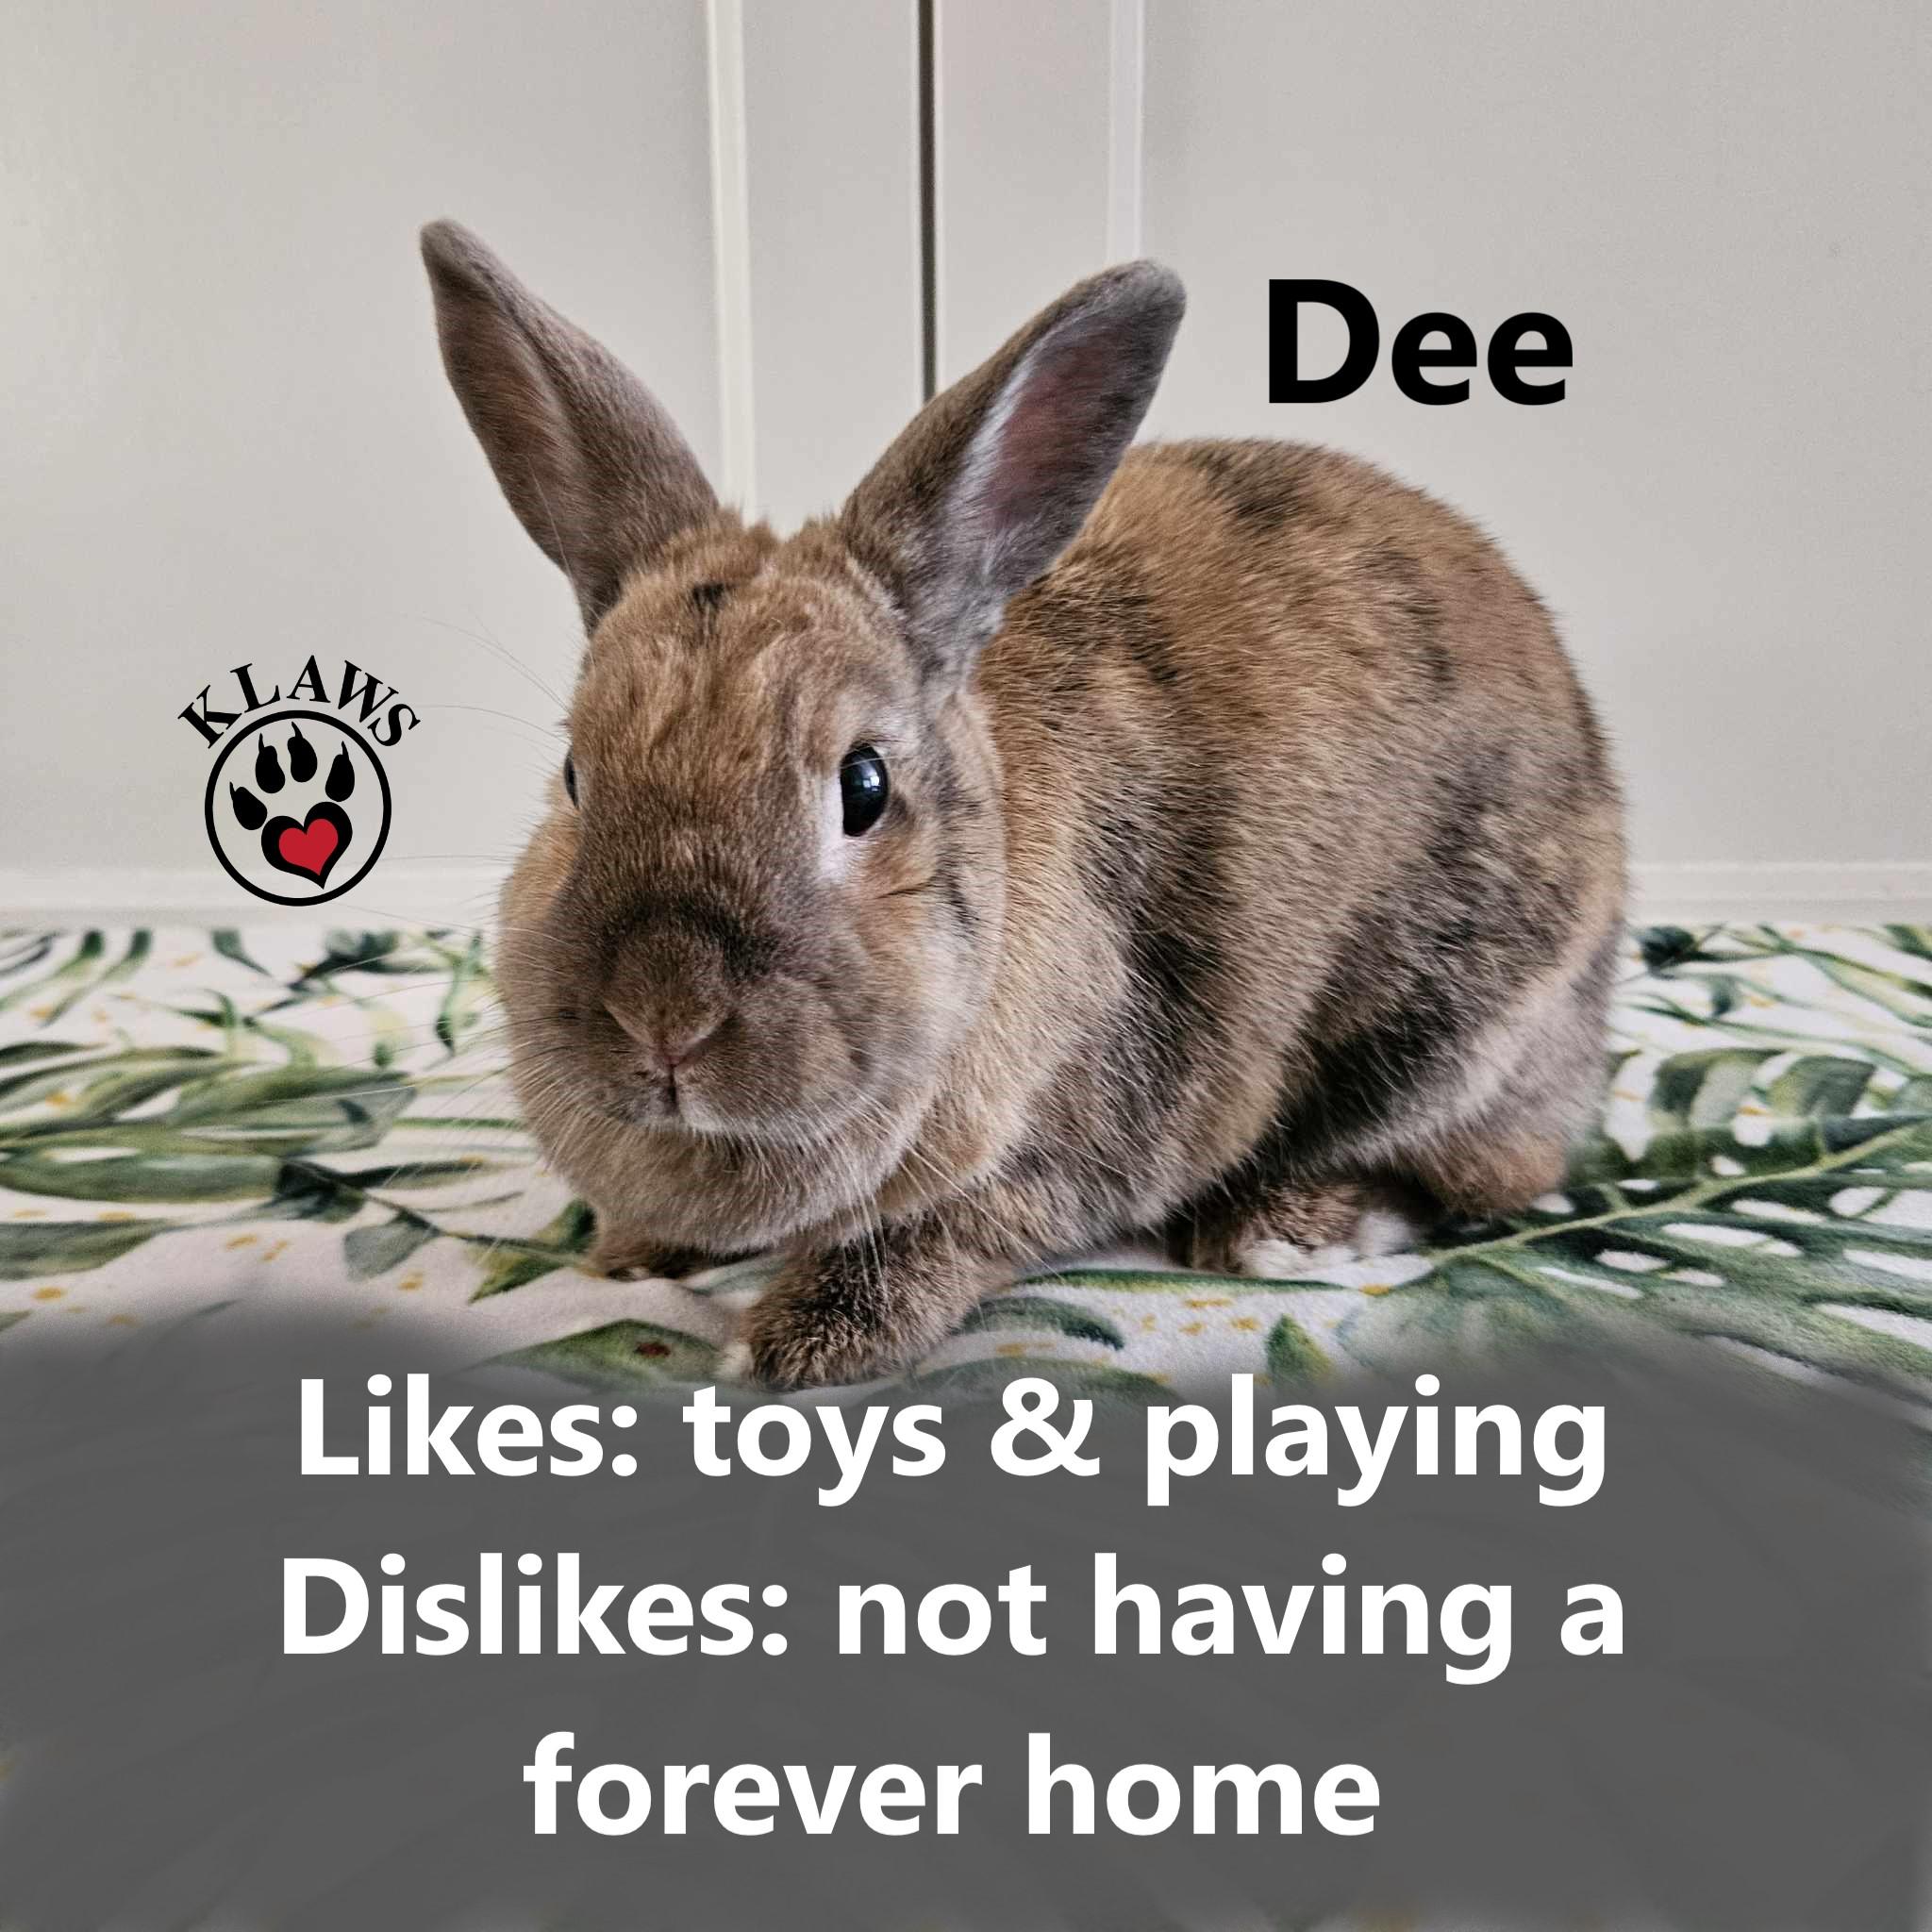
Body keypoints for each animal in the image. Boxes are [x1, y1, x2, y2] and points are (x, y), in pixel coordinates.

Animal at [421, 220, 1625, 1390]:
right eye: (574, 775)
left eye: (864, 786)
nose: (662, 1014)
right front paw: (626, 1250)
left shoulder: (1076, 1144)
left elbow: (944, 1235)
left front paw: (797, 1343)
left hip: (1451, 1033)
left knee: (1481, 1175)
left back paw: (1285, 1226)